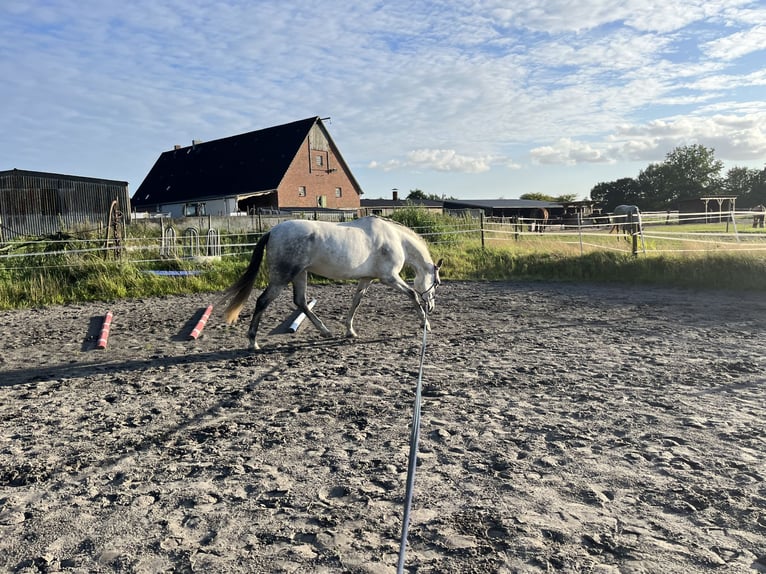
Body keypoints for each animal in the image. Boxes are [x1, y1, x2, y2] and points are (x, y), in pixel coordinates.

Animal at [220, 216, 444, 352]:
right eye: (437, 282)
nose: (432, 307)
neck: (395, 238)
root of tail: (272, 231)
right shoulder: (389, 277)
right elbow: (412, 294)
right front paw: (425, 323)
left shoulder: (366, 279)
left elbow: (355, 303)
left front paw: (350, 331)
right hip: (282, 277)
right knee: (262, 301)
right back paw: (253, 342)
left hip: (300, 274)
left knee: (300, 301)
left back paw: (325, 331)